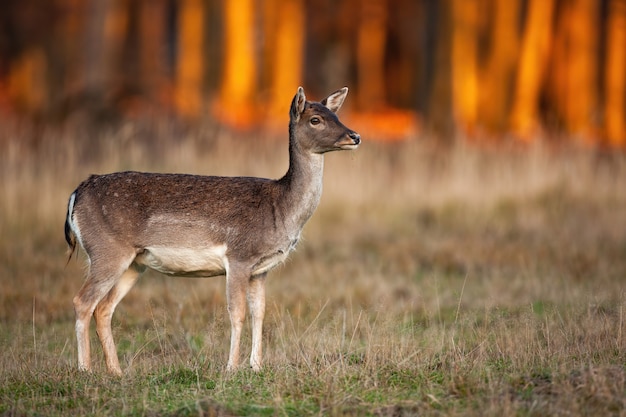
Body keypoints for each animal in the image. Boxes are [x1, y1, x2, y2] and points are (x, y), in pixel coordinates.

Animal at [64, 87, 360, 374]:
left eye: (335, 115)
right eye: (315, 119)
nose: (355, 136)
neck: (280, 209)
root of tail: (76, 193)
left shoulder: (261, 270)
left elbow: (260, 313)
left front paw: (256, 367)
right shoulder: (239, 256)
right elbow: (237, 313)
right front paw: (231, 368)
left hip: (134, 262)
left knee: (104, 308)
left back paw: (116, 371)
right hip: (107, 250)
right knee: (82, 301)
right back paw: (85, 370)